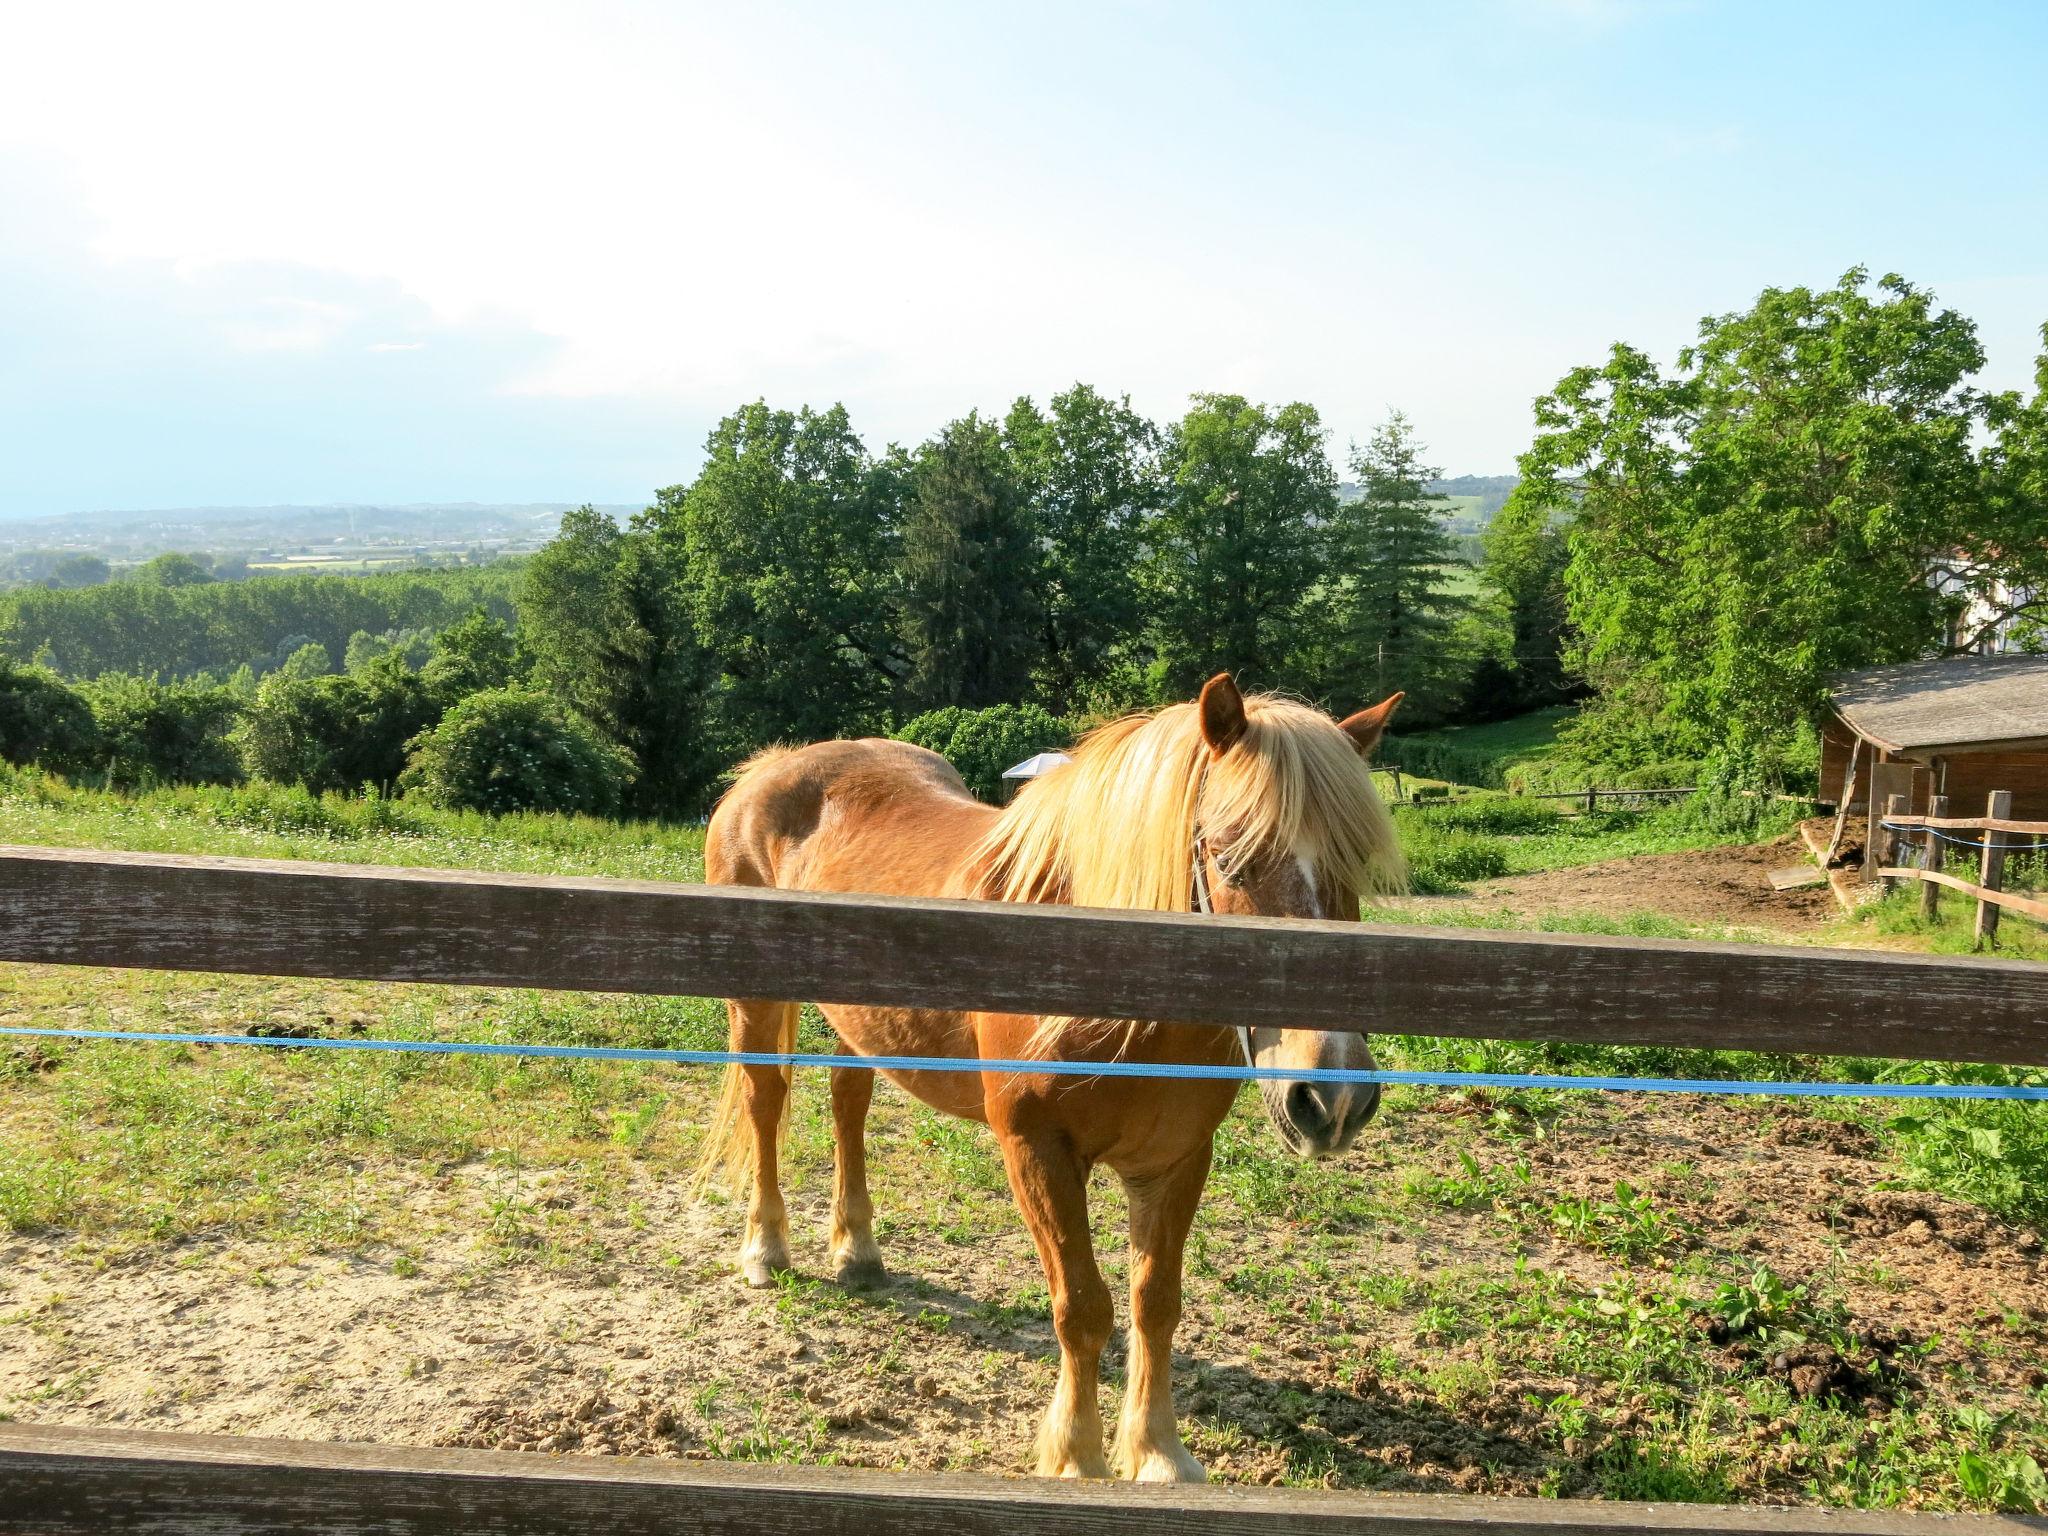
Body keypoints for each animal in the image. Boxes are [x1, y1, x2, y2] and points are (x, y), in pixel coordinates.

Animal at [696, 675, 1400, 1490]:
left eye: (1356, 863)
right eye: (1232, 858)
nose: (1333, 1096)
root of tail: (769, 768)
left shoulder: (1176, 1159)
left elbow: (1155, 1302)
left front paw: (1158, 1454)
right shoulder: (1037, 1150)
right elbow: (1083, 1308)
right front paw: (1077, 1456)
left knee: (849, 1104)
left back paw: (858, 1253)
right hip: (755, 1005)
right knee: (765, 1105)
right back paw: (765, 1249)